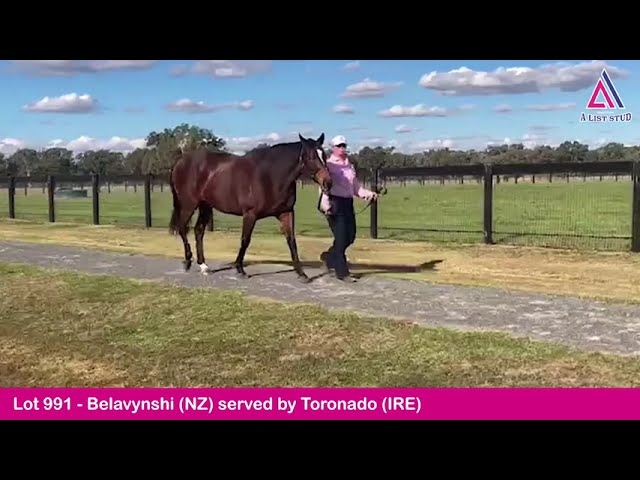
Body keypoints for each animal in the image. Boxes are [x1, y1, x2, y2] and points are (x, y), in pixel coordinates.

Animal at [168, 132, 332, 282]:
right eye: (310, 157)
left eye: (324, 156)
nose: (328, 183)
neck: (270, 176)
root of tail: (180, 162)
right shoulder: (250, 214)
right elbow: (245, 240)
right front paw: (240, 269)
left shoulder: (286, 213)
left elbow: (292, 241)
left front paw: (302, 274)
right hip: (189, 204)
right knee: (182, 228)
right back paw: (188, 261)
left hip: (205, 206)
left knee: (198, 231)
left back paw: (203, 266)